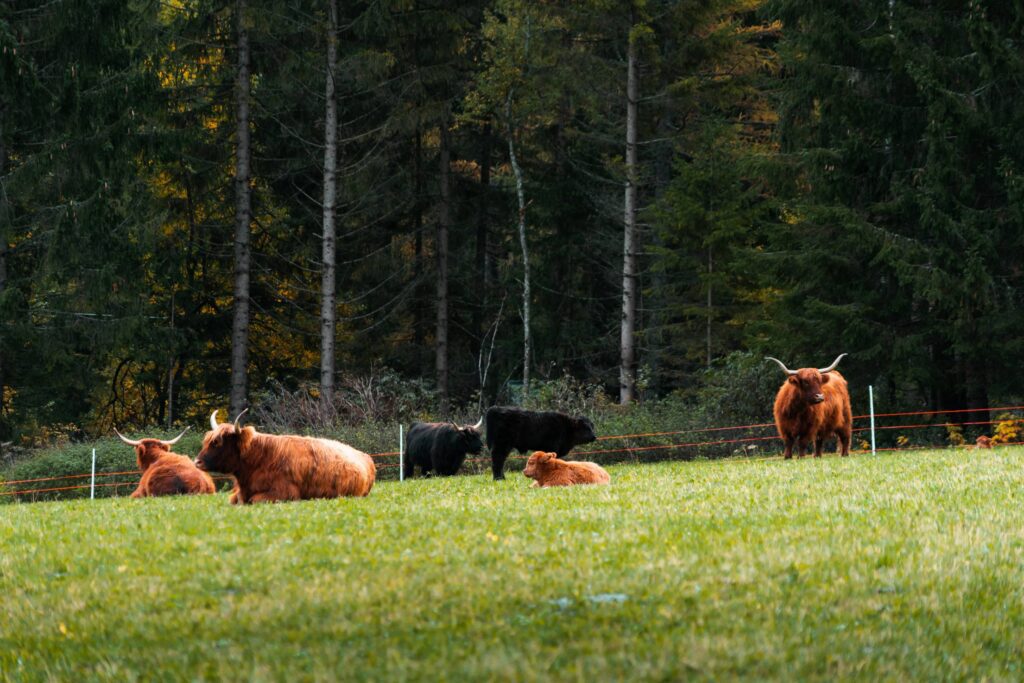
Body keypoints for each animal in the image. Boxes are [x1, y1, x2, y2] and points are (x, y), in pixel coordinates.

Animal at [193, 409, 374, 505]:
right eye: (208, 440)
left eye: (217, 442)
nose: (197, 461)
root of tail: (365, 456)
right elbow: (233, 500)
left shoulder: (284, 493)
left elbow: (255, 500)